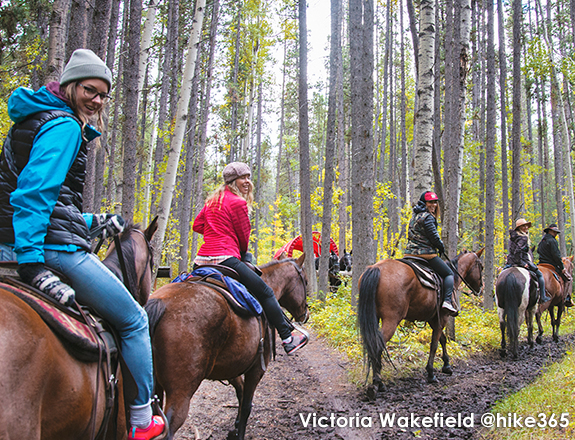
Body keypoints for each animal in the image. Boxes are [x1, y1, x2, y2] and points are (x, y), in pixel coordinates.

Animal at [146, 254, 308, 440]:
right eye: (306, 281)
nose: (305, 314)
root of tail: (161, 304)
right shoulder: (256, 369)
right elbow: (246, 406)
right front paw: (239, 432)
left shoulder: (232, 366)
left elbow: (240, 392)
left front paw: (234, 428)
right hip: (180, 391)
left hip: (154, 389)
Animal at [358, 249, 484, 394]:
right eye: (481, 267)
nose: (481, 288)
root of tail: (376, 269)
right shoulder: (443, 317)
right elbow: (434, 344)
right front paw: (431, 373)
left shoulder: (433, 319)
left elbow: (442, 339)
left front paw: (447, 366)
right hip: (391, 320)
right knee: (378, 346)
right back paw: (379, 382)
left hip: (375, 317)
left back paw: (376, 382)